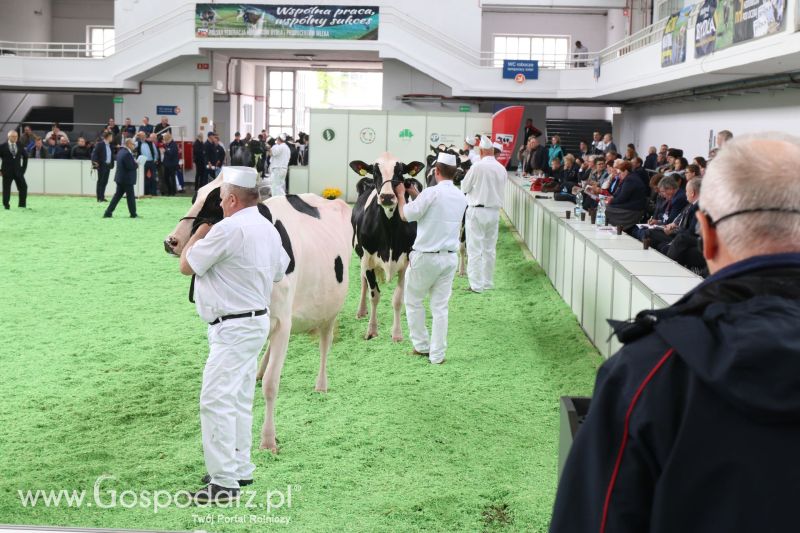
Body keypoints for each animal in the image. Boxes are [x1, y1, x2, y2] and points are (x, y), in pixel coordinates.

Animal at [350, 152, 424, 338]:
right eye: (375, 172)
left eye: (400, 172)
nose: (387, 197)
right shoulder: (368, 260)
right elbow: (374, 295)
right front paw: (371, 330)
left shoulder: (406, 262)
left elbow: (398, 298)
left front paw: (397, 334)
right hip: (360, 255)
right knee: (363, 281)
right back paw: (361, 311)